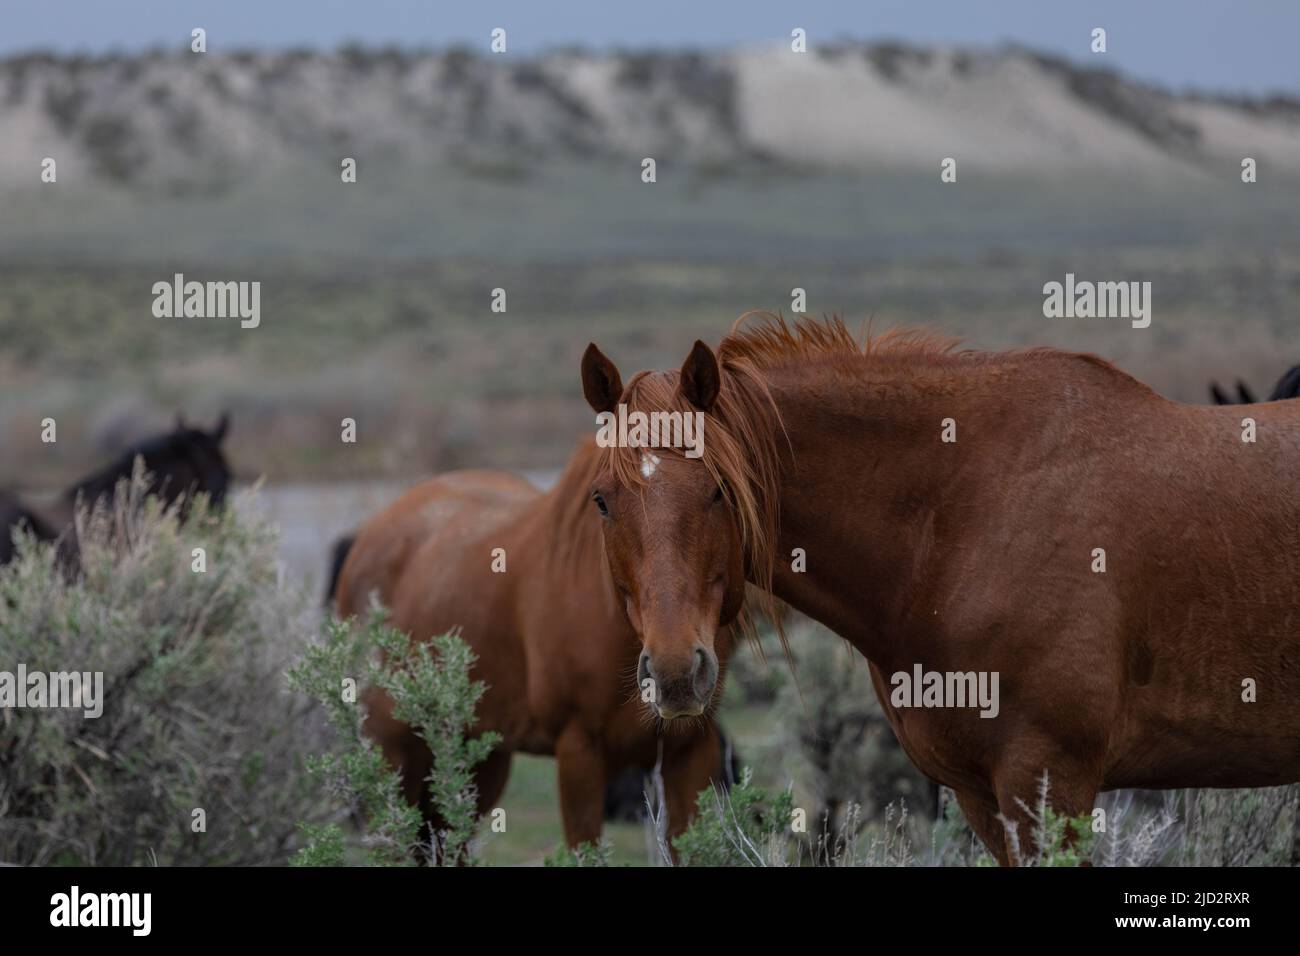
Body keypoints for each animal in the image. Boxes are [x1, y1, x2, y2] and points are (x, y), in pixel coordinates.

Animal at [332, 439, 736, 858]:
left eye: (719, 489)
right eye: (601, 500)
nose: (675, 672)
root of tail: (367, 536)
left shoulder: (690, 752)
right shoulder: (579, 753)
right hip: (394, 758)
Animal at [579, 314, 1300, 865]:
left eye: (718, 491)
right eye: (603, 500)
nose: (676, 673)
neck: (964, 515)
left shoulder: (1052, 780)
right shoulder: (983, 797)